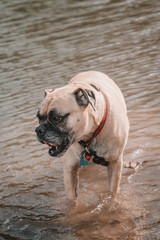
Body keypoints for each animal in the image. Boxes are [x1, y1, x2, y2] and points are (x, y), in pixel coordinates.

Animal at [35, 71, 130, 201]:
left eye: (57, 118)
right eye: (38, 117)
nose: (38, 130)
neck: (89, 135)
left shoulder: (115, 164)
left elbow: (112, 193)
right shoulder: (70, 170)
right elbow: (72, 201)